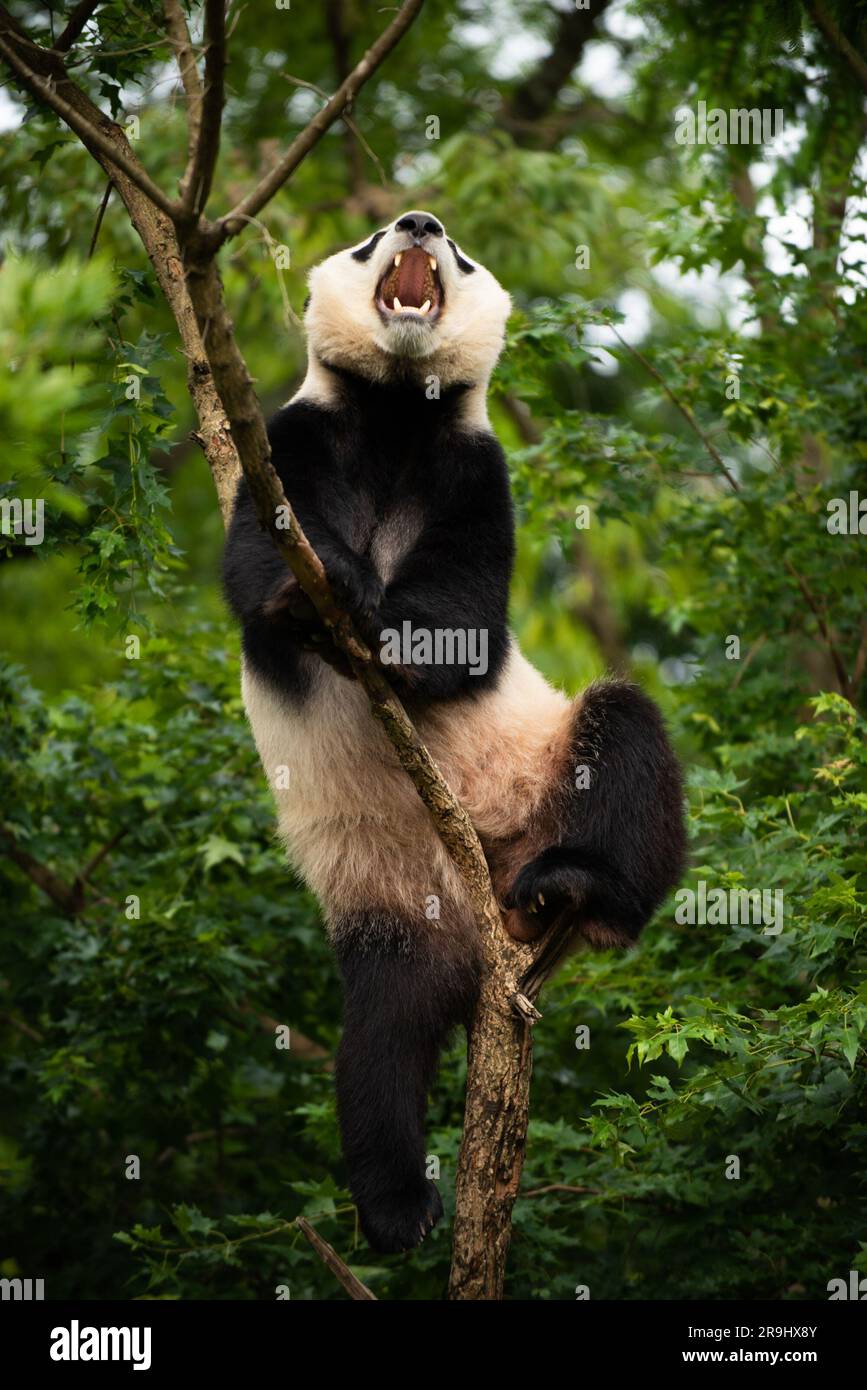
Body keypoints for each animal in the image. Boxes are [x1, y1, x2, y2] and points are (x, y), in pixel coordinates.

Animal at [223, 210, 686, 1254]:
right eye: (367, 242)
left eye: (463, 257)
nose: (419, 223)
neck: (397, 412)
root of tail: (492, 921)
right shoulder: (289, 439)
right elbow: (256, 561)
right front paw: (335, 587)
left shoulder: (478, 471)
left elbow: (466, 617)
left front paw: (393, 629)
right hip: (391, 903)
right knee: (381, 1041)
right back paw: (398, 1206)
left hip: (547, 768)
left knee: (626, 742)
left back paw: (581, 889)